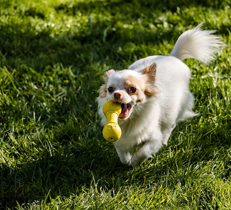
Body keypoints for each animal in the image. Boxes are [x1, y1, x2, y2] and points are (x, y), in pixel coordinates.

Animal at [96, 23, 223, 167]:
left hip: (175, 110)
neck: (131, 120)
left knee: (170, 126)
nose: (116, 94)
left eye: (132, 89)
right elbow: (122, 155)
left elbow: (143, 151)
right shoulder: (120, 140)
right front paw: (128, 161)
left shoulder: (153, 138)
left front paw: (134, 161)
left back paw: (165, 140)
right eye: (110, 89)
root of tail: (172, 57)